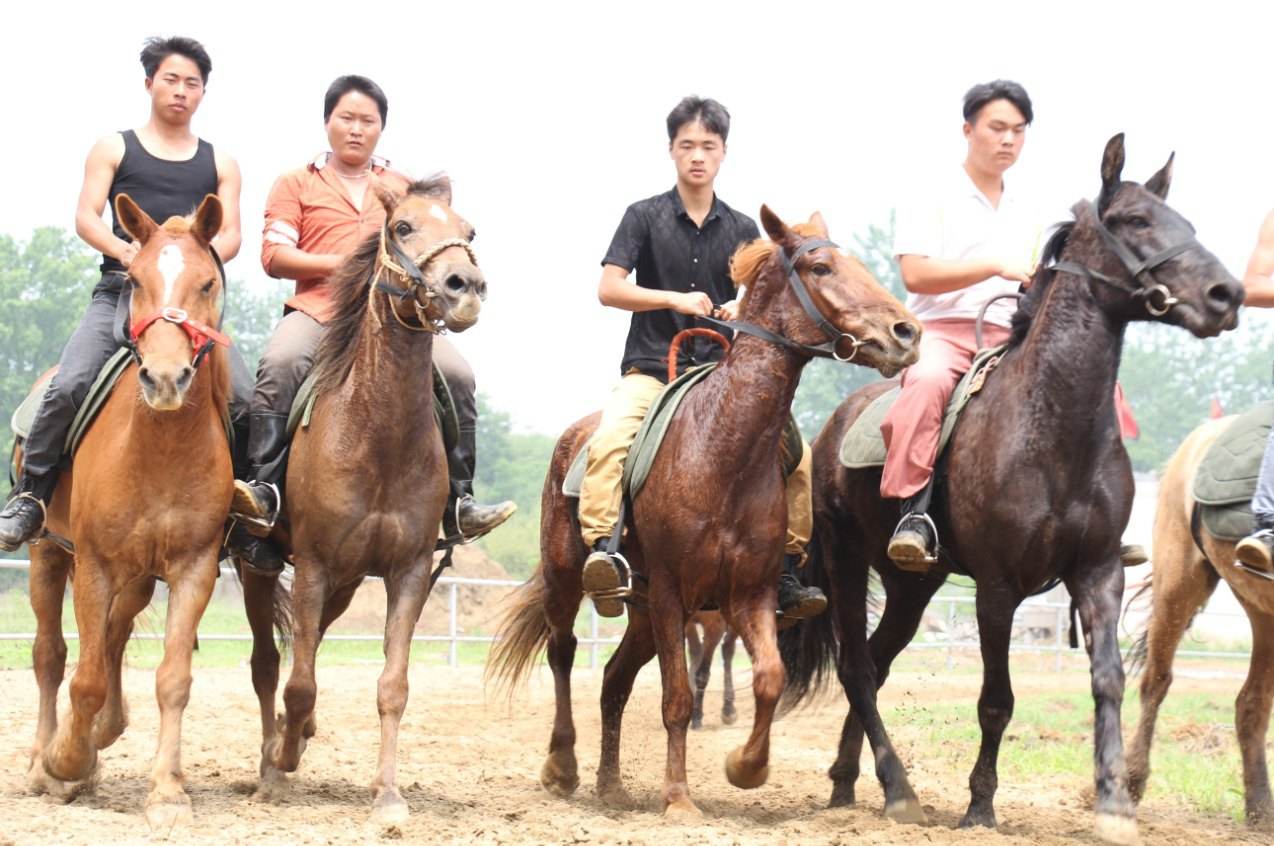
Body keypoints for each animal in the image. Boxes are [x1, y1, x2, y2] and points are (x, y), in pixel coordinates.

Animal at [22, 193, 235, 825]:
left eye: (207, 283)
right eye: (135, 280)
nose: (164, 379)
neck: (159, 448)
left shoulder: (193, 569)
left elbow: (173, 679)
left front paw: (166, 790)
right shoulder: (92, 563)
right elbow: (85, 677)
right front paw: (64, 763)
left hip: (138, 576)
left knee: (112, 638)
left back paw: (99, 738)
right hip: (47, 554)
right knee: (51, 655)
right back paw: (43, 759)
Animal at [240, 179, 484, 825]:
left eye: (469, 231)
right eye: (401, 227)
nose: (465, 286)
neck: (377, 434)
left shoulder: (408, 572)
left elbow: (392, 686)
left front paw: (389, 795)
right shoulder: (313, 566)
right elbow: (299, 683)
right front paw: (283, 761)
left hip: (347, 583)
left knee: (310, 646)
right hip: (261, 569)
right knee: (269, 665)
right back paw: (271, 760)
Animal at [486, 206, 917, 820]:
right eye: (821, 267)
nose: (907, 333)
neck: (722, 450)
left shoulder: (749, 595)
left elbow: (768, 676)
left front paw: (746, 767)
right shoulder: (672, 593)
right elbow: (678, 697)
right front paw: (678, 799)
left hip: (642, 612)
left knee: (614, 680)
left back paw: (611, 786)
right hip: (570, 579)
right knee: (563, 653)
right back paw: (562, 767)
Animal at [774, 135, 1243, 840]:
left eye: (1184, 221)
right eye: (1136, 221)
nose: (1227, 293)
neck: (1052, 426)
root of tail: (832, 427)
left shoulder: (1098, 572)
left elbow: (1107, 680)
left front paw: (1113, 803)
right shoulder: (997, 588)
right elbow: (996, 700)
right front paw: (980, 805)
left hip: (915, 585)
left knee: (877, 665)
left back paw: (849, 780)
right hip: (850, 562)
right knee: (858, 666)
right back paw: (897, 791)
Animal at [1126, 415, 1274, 825]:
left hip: (1262, 613)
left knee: (1252, 704)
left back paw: (1260, 810)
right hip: (1178, 583)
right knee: (1155, 682)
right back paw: (1129, 782)